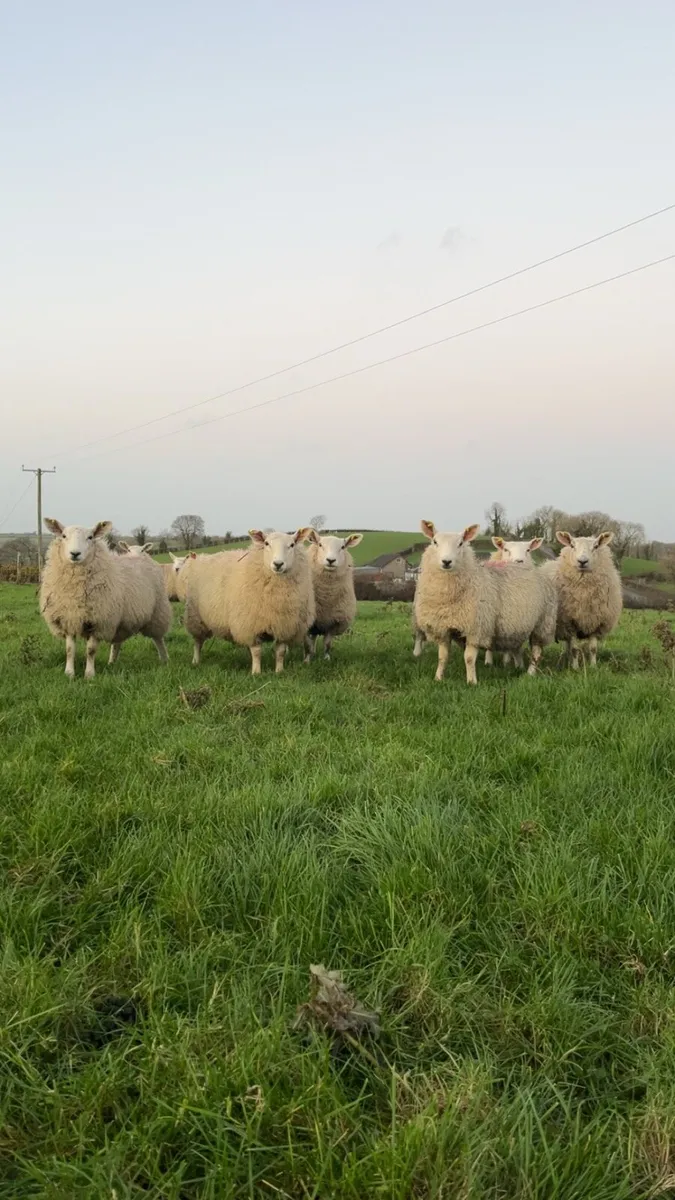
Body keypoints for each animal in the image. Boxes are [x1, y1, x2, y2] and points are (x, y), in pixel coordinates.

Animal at [40, 518, 171, 678]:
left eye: (90, 537)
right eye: (64, 536)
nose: (75, 553)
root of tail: (142, 556)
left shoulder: (99, 621)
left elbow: (91, 650)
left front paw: (89, 675)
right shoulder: (69, 618)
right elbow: (70, 650)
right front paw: (69, 673)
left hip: (158, 612)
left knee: (158, 639)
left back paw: (165, 659)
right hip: (121, 620)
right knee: (117, 642)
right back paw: (112, 662)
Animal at [184, 528, 315, 674]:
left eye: (292, 545)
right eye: (266, 543)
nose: (278, 564)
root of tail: (204, 557)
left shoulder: (284, 626)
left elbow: (280, 652)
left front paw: (279, 671)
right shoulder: (251, 625)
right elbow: (257, 651)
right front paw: (256, 672)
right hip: (196, 618)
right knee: (197, 642)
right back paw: (195, 661)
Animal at [304, 531, 363, 661]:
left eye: (343, 547)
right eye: (320, 545)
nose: (331, 560)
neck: (327, 596)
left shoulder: (334, 622)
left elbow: (327, 644)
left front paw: (326, 659)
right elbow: (307, 644)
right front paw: (306, 660)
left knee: (314, 638)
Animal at [413, 520, 556, 684]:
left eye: (461, 543)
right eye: (435, 542)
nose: (446, 561)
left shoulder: (476, 629)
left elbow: (469, 658)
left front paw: (471, 682)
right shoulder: (442, 629)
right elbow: (442, 657)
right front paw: (438, 678)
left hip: (543, 623)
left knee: (537, 652)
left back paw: (530, 673)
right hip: (518, 626)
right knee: (517, 647)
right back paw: (519, 666)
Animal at [552, 531, 623, 667]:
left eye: (596, 546)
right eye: (572, 545)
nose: (582, 561)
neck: (584, 593)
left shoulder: (596, 621)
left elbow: (593, 648)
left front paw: (593, 666)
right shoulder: (570, 622)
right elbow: (574, 649)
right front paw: (575, 668)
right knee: (569, 646)